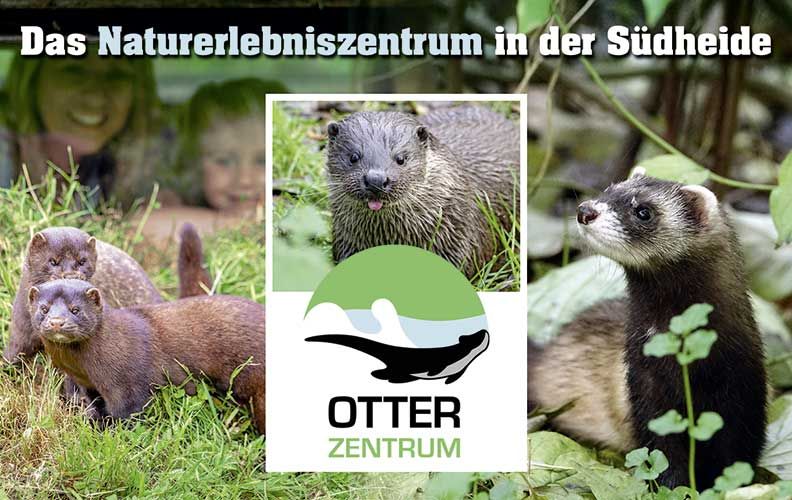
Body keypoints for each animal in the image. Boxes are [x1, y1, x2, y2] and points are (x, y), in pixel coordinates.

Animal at [28, 279, 265, 434]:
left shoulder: (126, 384)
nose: (57, 322)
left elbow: (129, 413)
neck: (83, 368)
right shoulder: (88, 385)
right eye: (44, 308)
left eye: (75, 309)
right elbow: (96, 407)